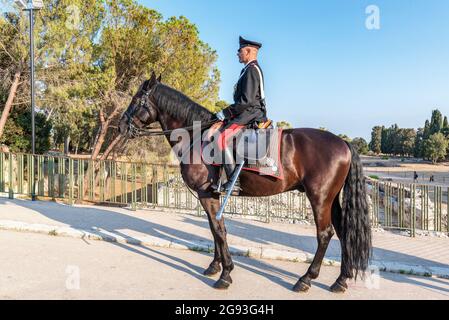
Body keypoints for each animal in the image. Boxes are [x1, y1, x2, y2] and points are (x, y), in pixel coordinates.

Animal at [116, 72, 372, 292]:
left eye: (136, 99)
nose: (121, 126)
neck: (196, 136)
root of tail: (343, 142)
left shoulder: (206, 194)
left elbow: (218, 229)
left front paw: (225, 273)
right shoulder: (211, 195)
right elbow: (214, 229)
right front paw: (215, 266)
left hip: (319, 198)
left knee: (325, 234)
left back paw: (306, 279)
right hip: (331, 199)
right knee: (343, 232)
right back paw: (341, 280)